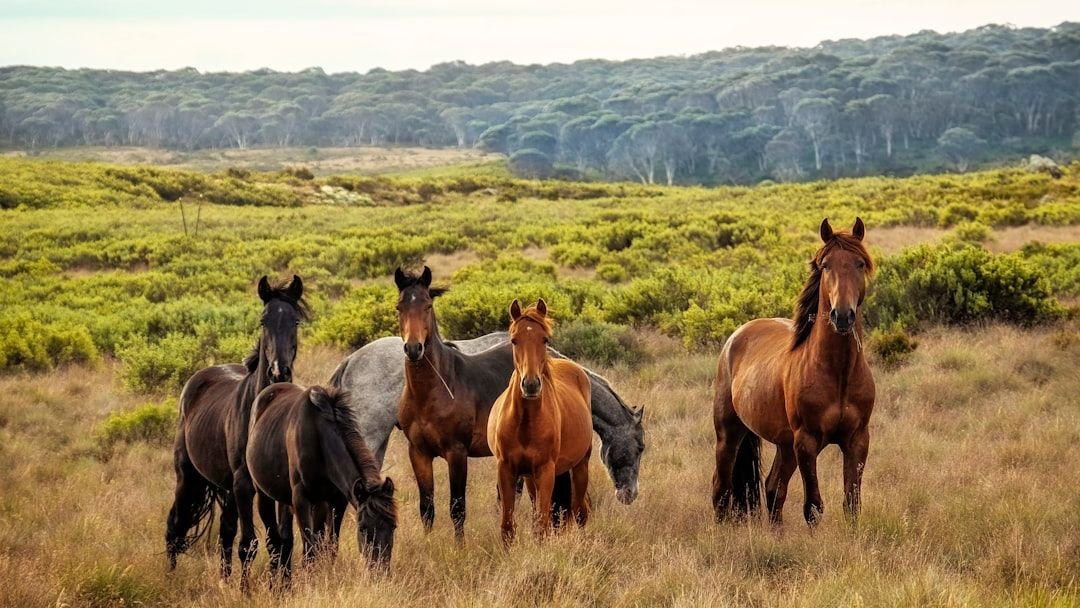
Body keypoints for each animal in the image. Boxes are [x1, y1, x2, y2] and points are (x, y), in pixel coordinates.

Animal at [165, 275, 305, 576]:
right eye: (263, 321)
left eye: (296, 321)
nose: (279, 371)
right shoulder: (243, 484)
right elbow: (249, 544)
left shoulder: (277, 486)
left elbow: (283, 542)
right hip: (188, 478)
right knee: (175, 526)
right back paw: (169, 577)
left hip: (226, 488)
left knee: (225, 534)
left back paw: (224, 580)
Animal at [244, 383, 397, 587]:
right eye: (362, 529)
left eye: (393, 527)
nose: (380, 572)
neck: (319, 438)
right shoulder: (301, 500)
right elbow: (310, 550)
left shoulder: (337, 501)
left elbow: (330, 546)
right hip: (264, 495)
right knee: (274, 541)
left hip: (300, 502)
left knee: (287, 539)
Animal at [488, 299, 592, 546]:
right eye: (514, 340)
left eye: (544, 339)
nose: (531, 385)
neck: (525, 423)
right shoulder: (507, 469)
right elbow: (508, 526)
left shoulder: (546, 471)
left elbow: (542, 525)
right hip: (529, 477)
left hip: (580, 466)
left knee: (579, 512)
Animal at [712, 218, 875, 526]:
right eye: (826, 266)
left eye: (860, 263)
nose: (842, 316)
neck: (838, 372)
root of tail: (737, 336)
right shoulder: (807, 443)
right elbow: (813, 506)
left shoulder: (857, 440)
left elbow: (852, 504)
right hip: (729, 434)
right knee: (721, 489)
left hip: (785, 445)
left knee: (773, 488)